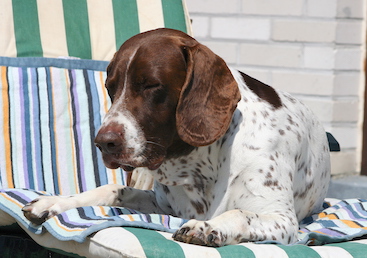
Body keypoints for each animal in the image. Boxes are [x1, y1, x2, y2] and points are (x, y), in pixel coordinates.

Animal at [21, 27, 330, 246]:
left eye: (150, 85)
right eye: (111, 87)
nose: (103, 143)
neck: (201, 164)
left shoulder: (283, 221)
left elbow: (240, 214)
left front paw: (209, 227)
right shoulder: (163, 205)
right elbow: (110, 189)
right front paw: (55, 202)